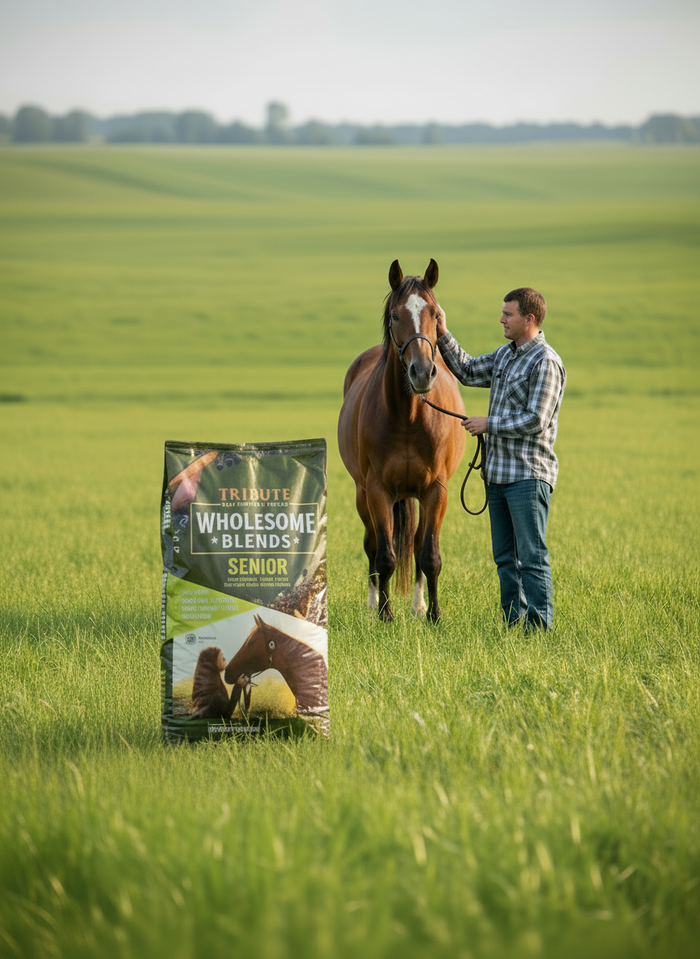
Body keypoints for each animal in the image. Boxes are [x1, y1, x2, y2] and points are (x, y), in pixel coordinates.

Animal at [337, 259, 466, 623]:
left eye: (435, 314)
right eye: (395, 316)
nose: (421, 372)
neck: (409, 417)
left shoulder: (437, 491)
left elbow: (429, 555)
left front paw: (434, 615)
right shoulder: (377, 490)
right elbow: (384, 556)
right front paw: (385, 614)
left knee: (418, 543)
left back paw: (418, 605)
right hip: (362, 494)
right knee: (371, 544)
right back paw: (372, 602)